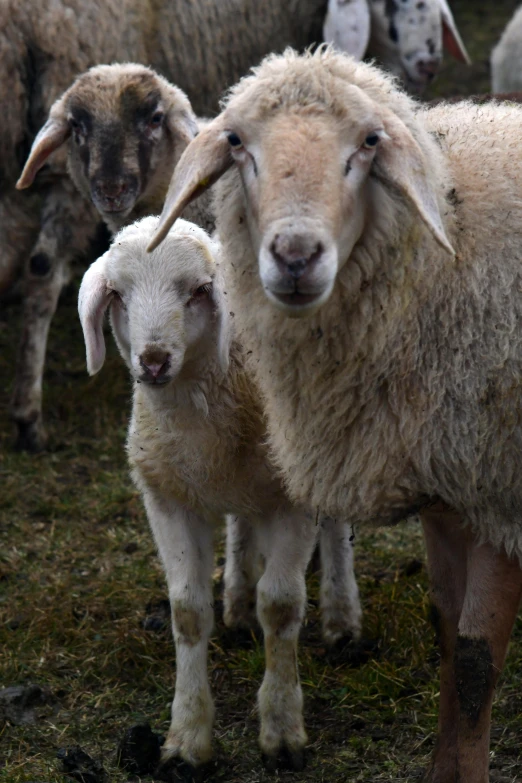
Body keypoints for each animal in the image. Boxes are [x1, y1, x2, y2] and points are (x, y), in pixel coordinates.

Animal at [79, 217, 360, 776]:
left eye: (200, 291)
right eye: (117, 294)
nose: (154, 361)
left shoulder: (289, 500)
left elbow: (282, 605)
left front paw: (281, 732)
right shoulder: (167, 497)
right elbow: (187, 611)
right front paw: (187, 740)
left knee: (335, 520)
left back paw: (341, 618)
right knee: (241, 521)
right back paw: (237, 602)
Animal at [149, 49, 522, 783]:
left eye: (369, 143)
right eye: (237, 143)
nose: (295, 257)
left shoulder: (497, 486)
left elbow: (473, 661)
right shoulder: (446, 483)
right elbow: (446, 633)